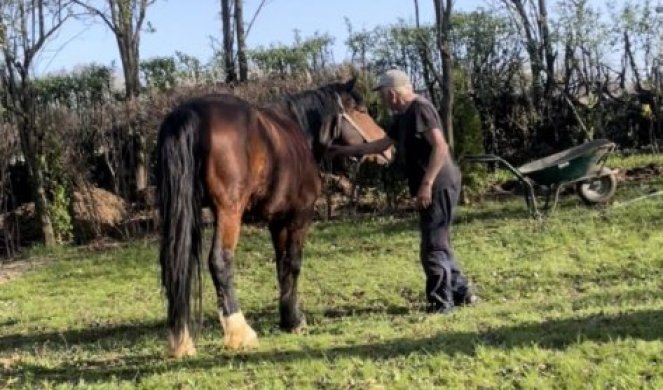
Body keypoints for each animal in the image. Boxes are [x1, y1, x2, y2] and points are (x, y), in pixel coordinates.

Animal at [156, 77, 392, 358]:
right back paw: (240, 332)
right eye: (361, 110)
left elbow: (281, 265)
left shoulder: (276, 221)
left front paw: (287, 317)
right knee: (220, 261)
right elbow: (293, 263)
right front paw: (294, 320)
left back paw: (181, 340)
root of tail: (190, 113)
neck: (298, 131)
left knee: (174, 265)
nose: (389, 149)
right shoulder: (298, 216)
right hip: (228, 212)